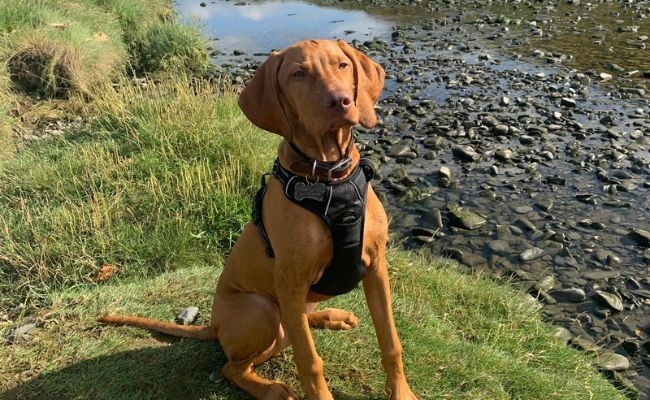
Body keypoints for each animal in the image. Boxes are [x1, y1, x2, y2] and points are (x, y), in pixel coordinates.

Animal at [98, 38, 418, 400]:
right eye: (298, 74)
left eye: (343, 65)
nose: (340, 101)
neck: (329, 178)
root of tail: (214, 324)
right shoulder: (290, 282)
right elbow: (310, 362)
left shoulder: (376, 267)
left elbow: (390, 341)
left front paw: (402, 392)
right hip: (262, 311)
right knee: (235, 365)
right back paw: (272, 390)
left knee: (296, 326)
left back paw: (331, 316)